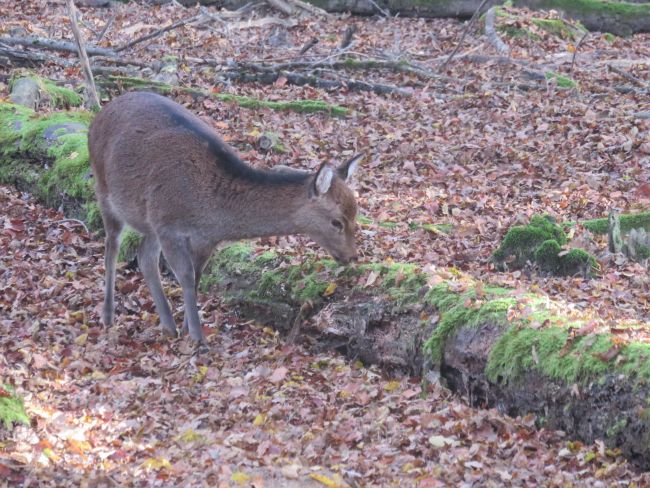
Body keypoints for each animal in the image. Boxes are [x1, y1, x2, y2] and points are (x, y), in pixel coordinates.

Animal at [86, 91, 362, 344]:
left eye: (355, 213)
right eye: (336, 221)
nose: (352, 256)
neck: (211, 211)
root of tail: (100, 113)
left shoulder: (204, 239)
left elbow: (196, 278)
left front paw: (187, 329)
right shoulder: (168, 225)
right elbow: (186, 276)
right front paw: (198, 339)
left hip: (148, 220)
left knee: (145, 256)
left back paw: (168, 325)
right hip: (104, 190)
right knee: (112, 247)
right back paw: (108, 315)